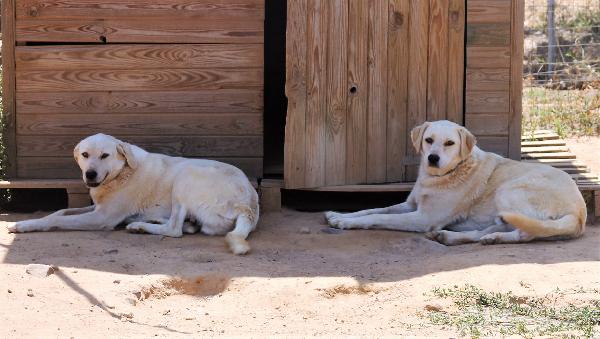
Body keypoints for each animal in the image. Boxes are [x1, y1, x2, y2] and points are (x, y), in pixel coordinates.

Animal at [8, 133, 258, 255]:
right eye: (85, 154)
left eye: (105, 155)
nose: (90, 174)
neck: (122, 173)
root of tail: (248, 206)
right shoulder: (96, 207)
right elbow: (59, 211)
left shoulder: (101, 218)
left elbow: (58, 220)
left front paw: (24, 225)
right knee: (186, 226)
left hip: (185, 174)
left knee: (175, 230)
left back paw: (140, 225)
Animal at [326, 121, 584, 246]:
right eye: (429, 140)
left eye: (450, 143)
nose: (432, 158)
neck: (439, 177)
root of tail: (579, 213)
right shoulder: (410, 205)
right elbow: (372, 209)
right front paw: (339, 215)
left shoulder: (422, 218)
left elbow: (379, 217)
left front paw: (346, 222)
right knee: (497, 229)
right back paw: (460, 237)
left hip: (508, 190)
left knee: (525, 233)